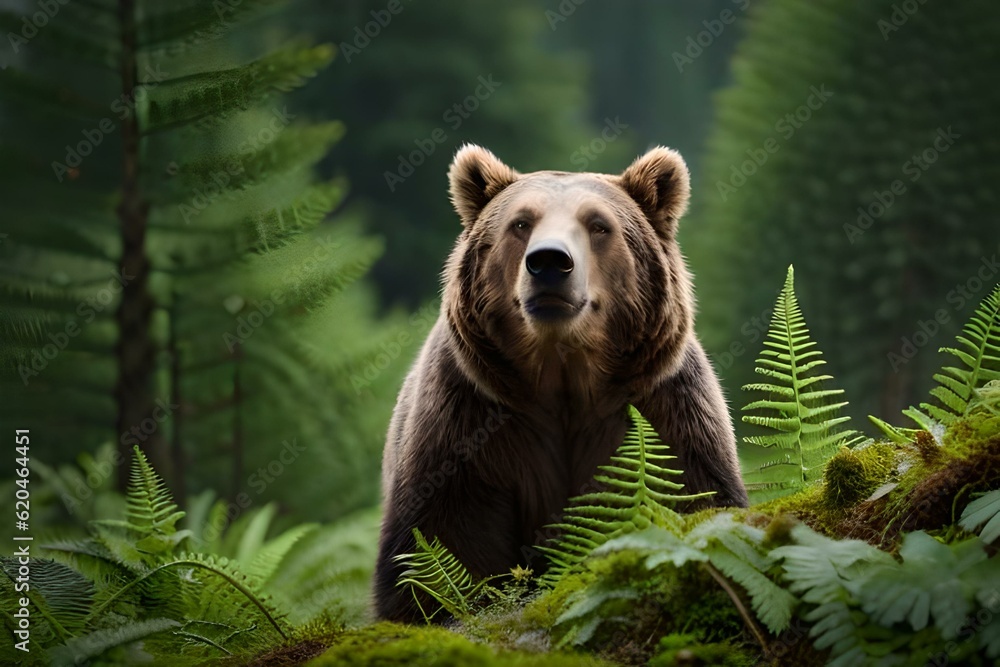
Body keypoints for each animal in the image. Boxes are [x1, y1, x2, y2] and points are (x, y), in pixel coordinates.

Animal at [374, 144, 748, 622]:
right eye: (520, 222)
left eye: (599, 225)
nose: (550, 261)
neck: (562, 379)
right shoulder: (467, 426)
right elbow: (446, 541)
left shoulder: (663, 408)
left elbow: (690, 494)